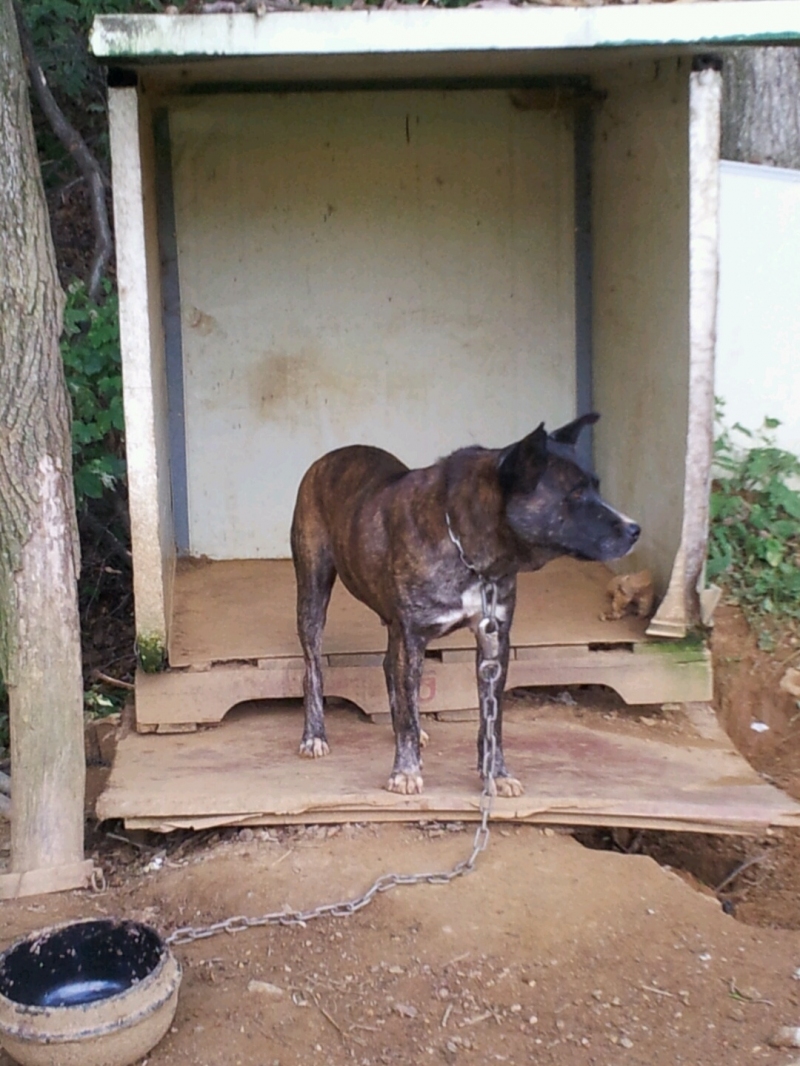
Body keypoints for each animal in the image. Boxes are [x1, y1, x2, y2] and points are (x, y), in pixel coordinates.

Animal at [290, 413, 640, 797]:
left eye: (597, 488)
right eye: (575, 494)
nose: (635, 529)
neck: (468, 546)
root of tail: (330, 457)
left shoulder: (493, 640)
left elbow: (492, 721)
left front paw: (496, 773)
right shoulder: (412, 637)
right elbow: (407, 710)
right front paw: (405, 771)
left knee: (388, 670)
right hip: (312, 594)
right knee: (313, 669)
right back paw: (314, 735)